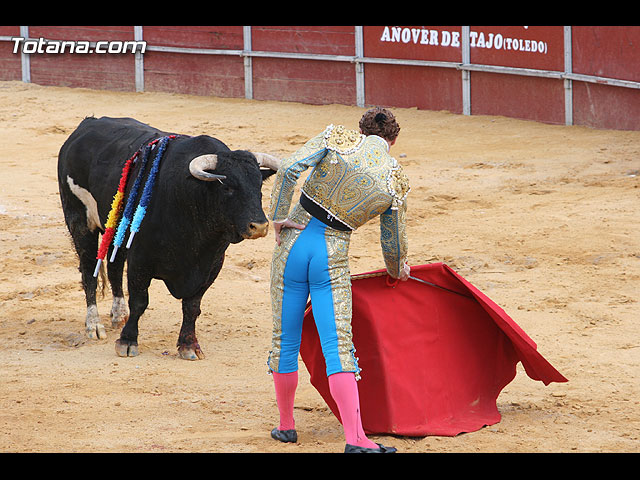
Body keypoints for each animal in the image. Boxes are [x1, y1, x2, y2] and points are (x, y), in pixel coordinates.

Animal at [58, 117, 280, 360]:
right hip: (80, 220)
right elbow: (140, 301)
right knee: (90, 270)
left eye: (259, 187)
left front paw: (189, 345)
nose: (259, 226)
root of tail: (87, 124)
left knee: (114, 267)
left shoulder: (211, 264)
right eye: (228, 187)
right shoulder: (140, 259)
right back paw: (94, 325)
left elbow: (192, 306)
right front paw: (127, 341)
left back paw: (119, 315)